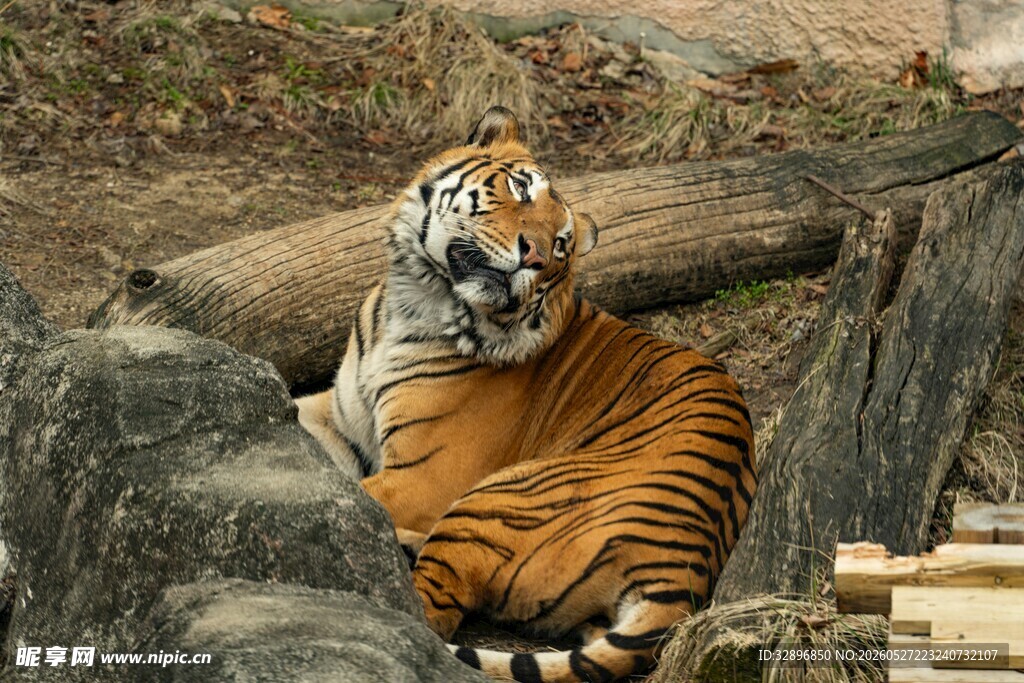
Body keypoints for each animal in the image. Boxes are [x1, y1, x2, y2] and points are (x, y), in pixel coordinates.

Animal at [296, 106, 756, 682]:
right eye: (520, 187)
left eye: (561, 244)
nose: (535, 255)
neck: (417, 301)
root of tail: (684, 571)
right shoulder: (340, 421)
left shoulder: (422, 477)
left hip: (493, 501)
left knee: (426, 612)